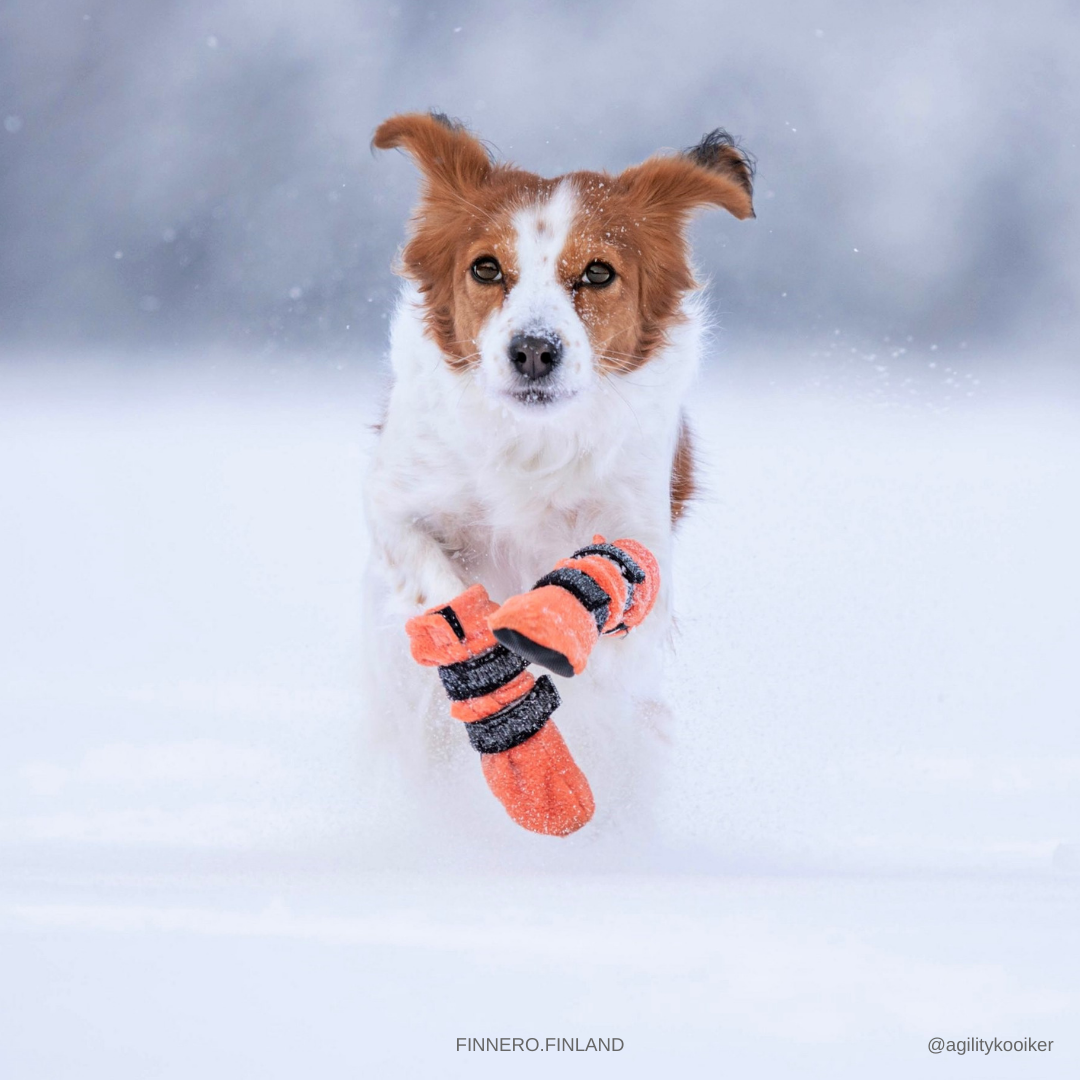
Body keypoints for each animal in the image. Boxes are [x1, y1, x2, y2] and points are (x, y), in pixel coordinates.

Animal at [362, 111, 751, 833]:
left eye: (597, 273)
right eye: (486, 268)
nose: (534, 350)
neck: (531, 445)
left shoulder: (640, 524)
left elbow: (626, 572)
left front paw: (560, 612)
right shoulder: (395, 505)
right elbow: (444, 591)